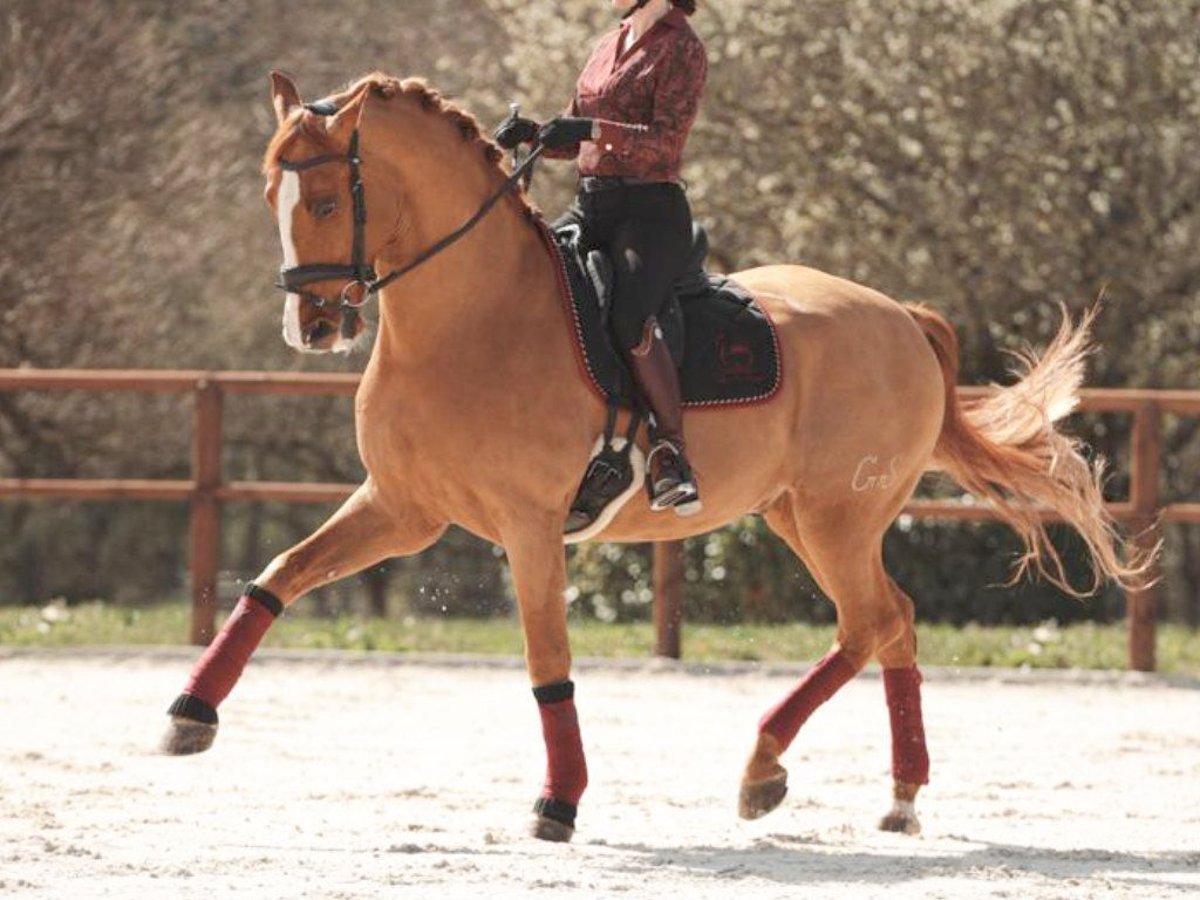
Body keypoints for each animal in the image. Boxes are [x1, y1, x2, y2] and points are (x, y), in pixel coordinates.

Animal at [159, 72, 1142, 844]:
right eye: (273, 201)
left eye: (327, 202)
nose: (312, 326)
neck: (469, 320)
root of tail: (901, 315)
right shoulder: (402, 508)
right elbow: (277, 579)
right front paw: (189, 714)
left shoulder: (527, 526)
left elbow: (546, 663)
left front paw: (558, 803)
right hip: (799, 515)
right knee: (892, 620)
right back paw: (898, 799)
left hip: (837, 515)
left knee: (868, 623)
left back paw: (762, 770)